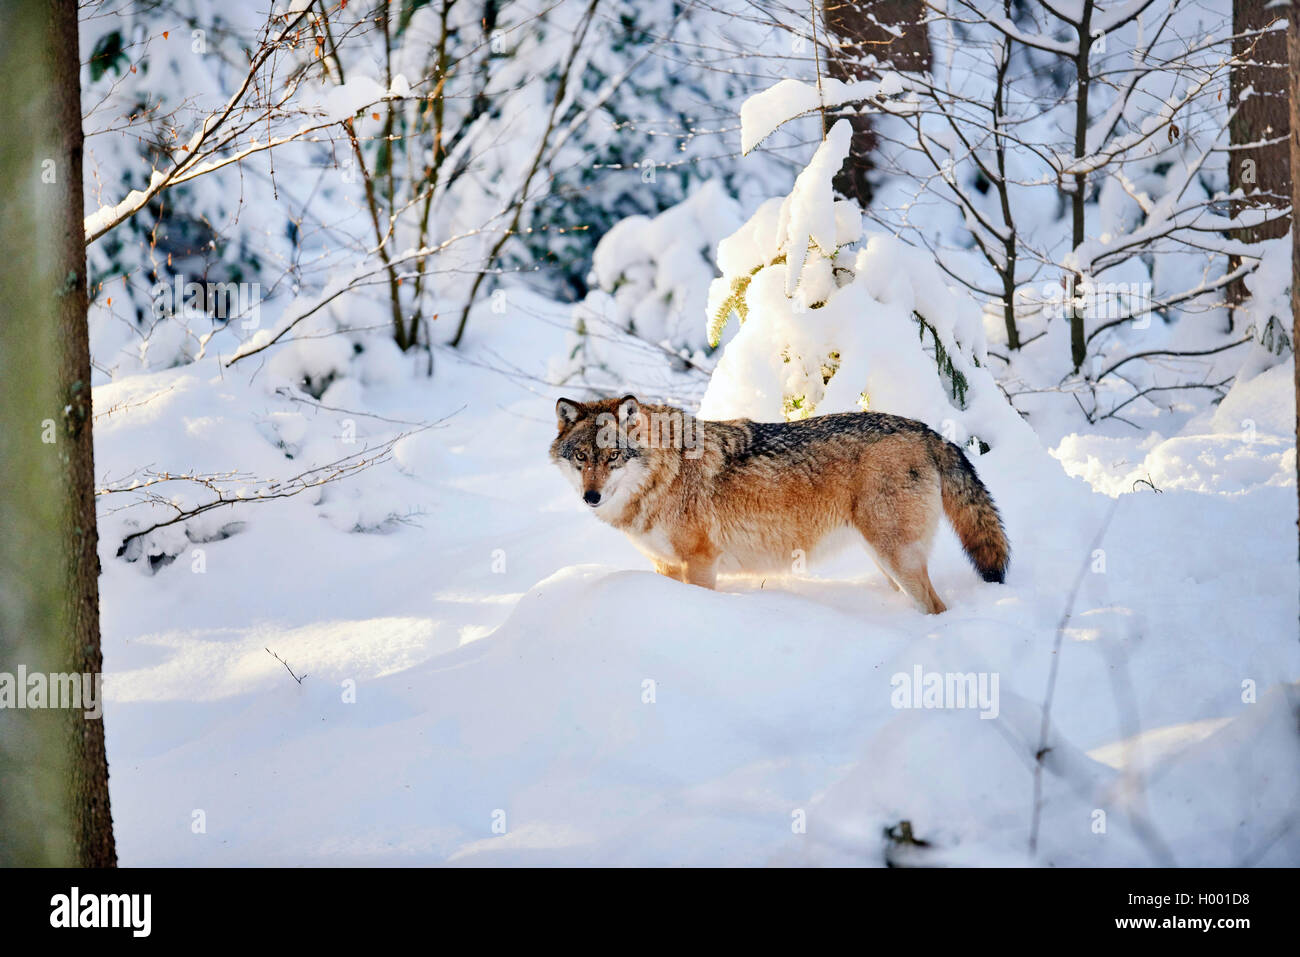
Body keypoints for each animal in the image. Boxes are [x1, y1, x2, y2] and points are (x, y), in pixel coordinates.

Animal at [550, 395, 1009, 614]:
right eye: (581, 457)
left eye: (613, 456)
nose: (591, 497)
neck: (666, 474)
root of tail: (929, 431)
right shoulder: (664, 566)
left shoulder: (700, 562)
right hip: (884, 560)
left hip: (896, 557)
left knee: (936, 606)